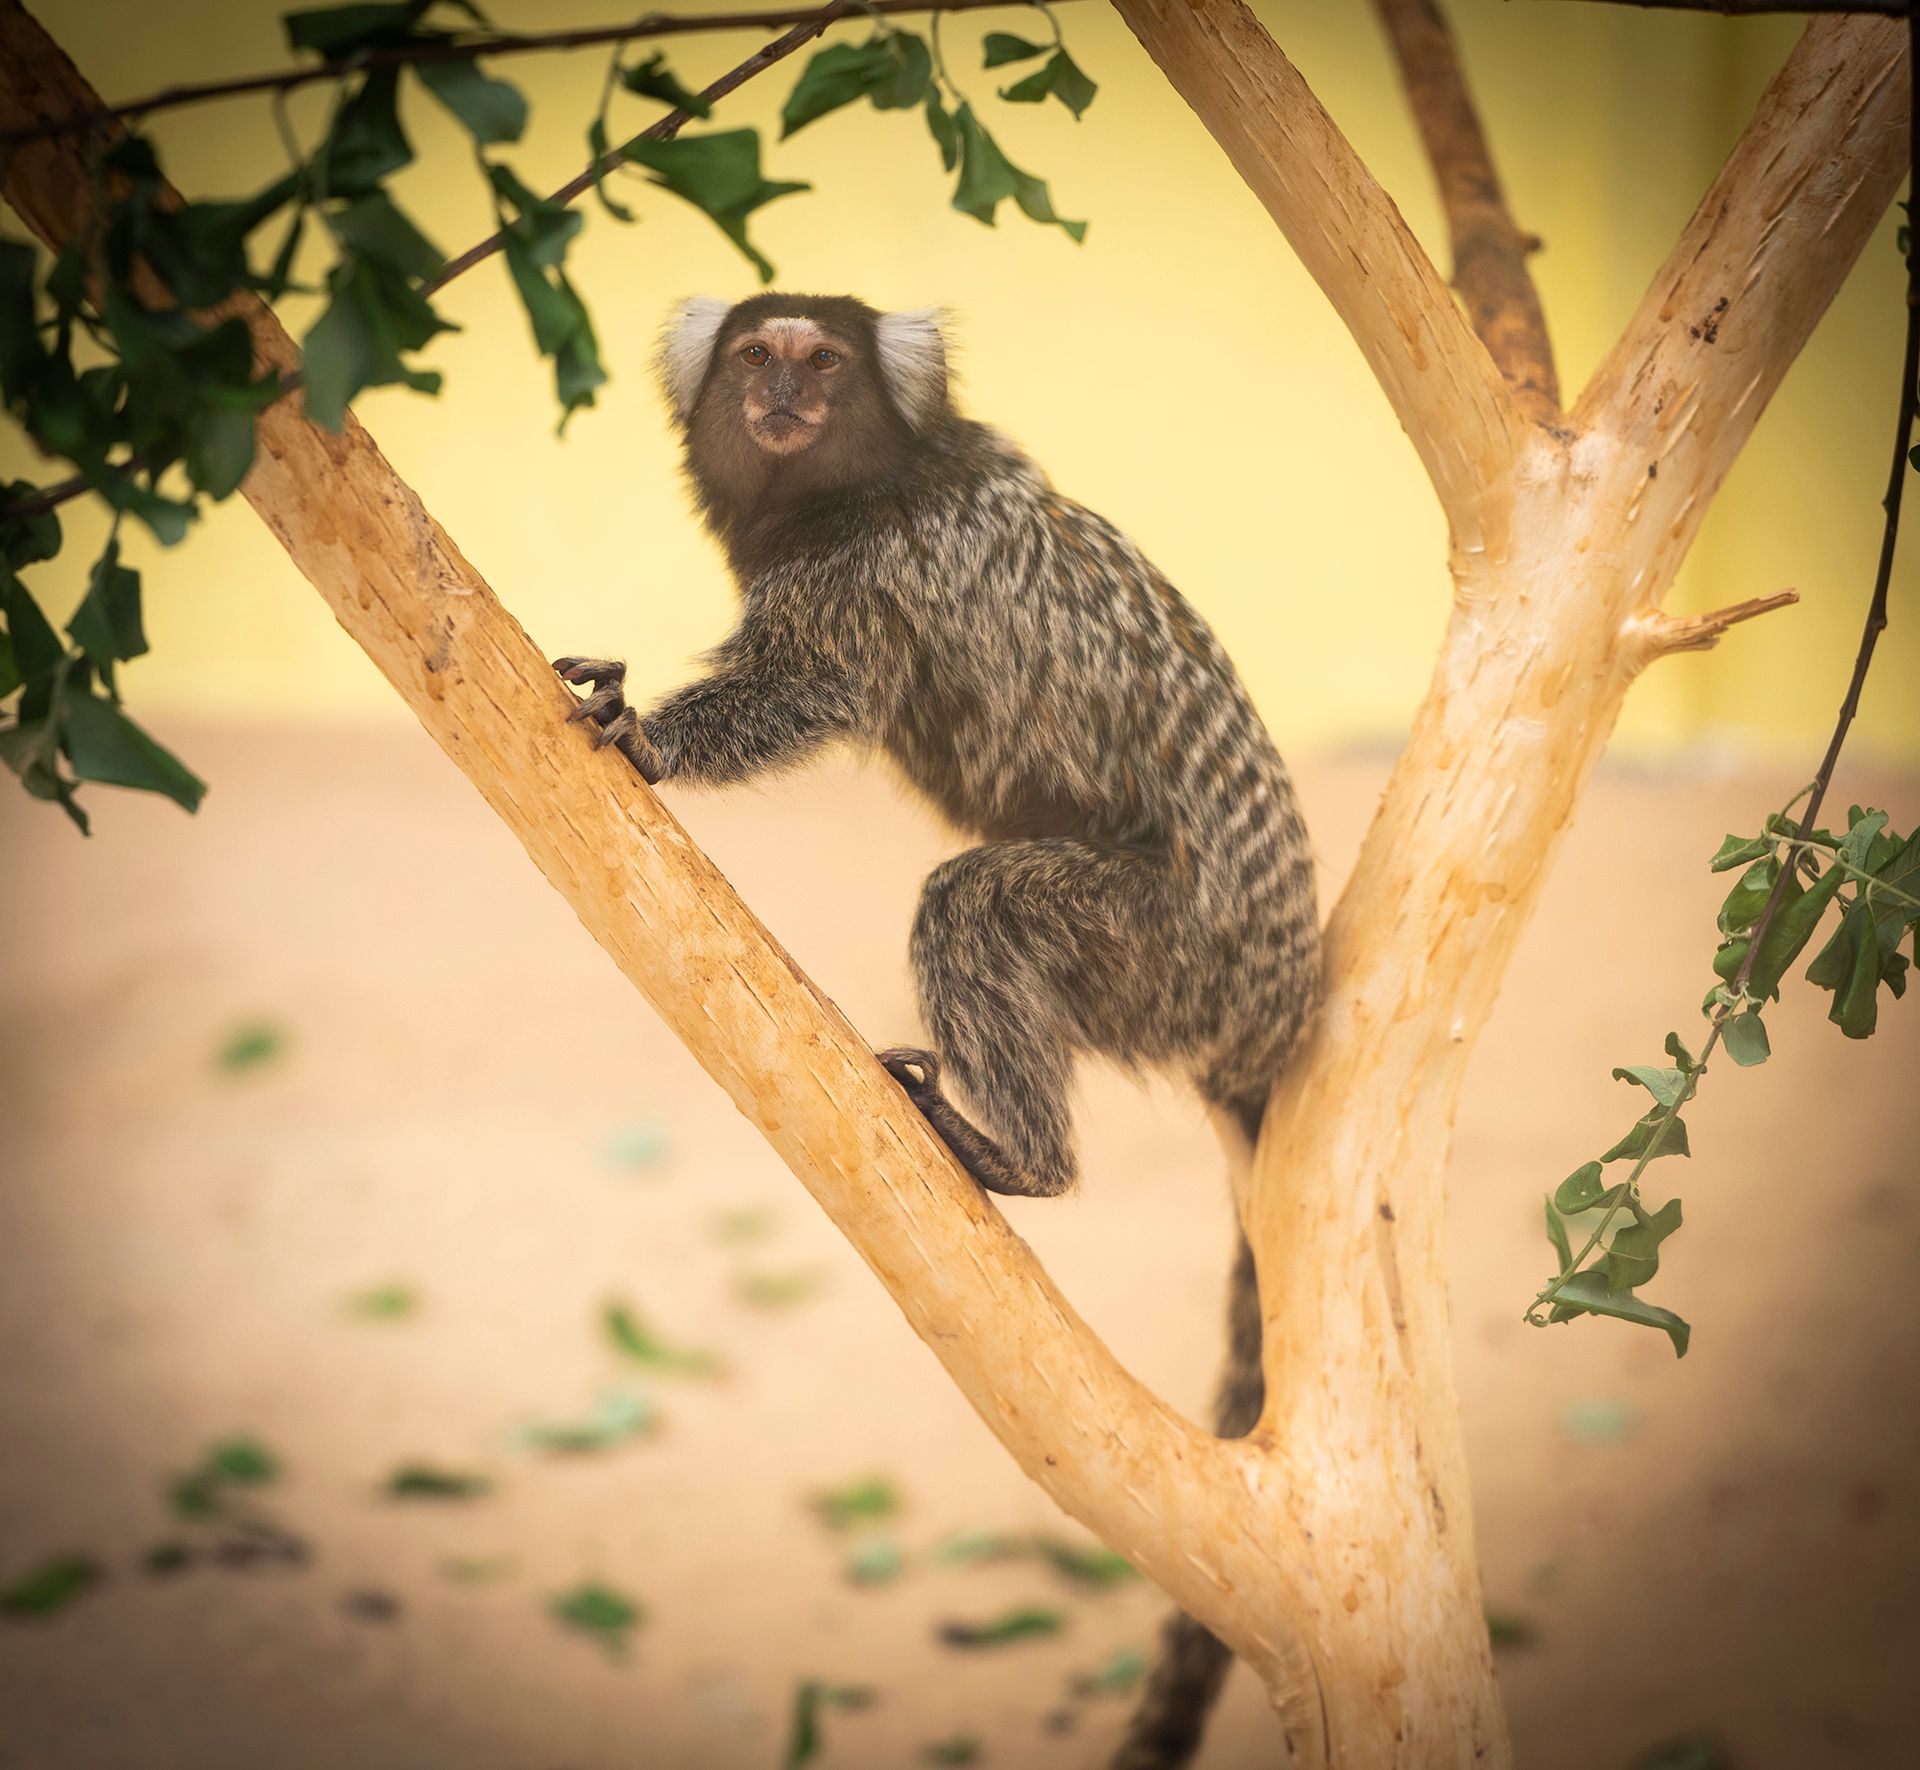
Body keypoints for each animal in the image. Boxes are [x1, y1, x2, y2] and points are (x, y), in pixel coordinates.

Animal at [553, 292, 1321, 1770]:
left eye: (822, 361)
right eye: (756, 356)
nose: (783, 400)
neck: (854, 487)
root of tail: (1275, 1016)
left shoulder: (886, 572)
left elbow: (815, 684)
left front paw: (655, 738)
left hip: (1171, 955)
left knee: (977, 906)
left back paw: (1014, 1155)